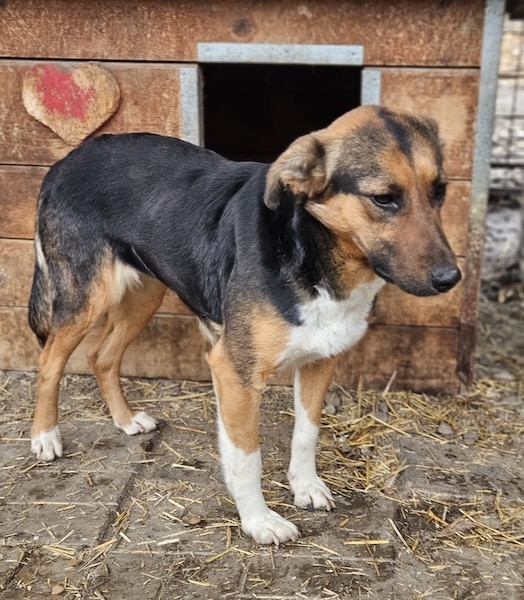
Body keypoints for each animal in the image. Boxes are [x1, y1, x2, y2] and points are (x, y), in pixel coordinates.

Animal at [28, 105, 461, 545]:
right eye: (383, 199)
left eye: (439, 192)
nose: (450, 278)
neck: (311, 252)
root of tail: (64, 162)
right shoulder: (234, 372)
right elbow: (247, 456)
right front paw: (258, 520)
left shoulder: (320, 361)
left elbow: (306, 433)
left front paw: (305, 486)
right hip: (86, 298)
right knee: (49, 362)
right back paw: (45, 437)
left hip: (146, 294)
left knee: (101, 356)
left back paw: (126, 420)